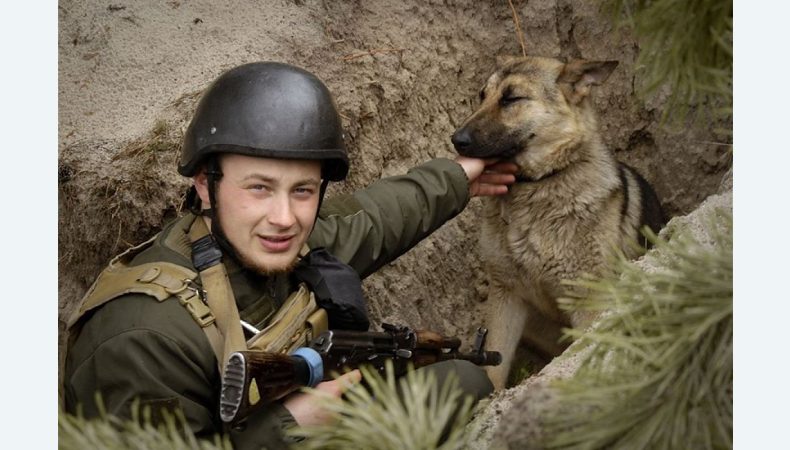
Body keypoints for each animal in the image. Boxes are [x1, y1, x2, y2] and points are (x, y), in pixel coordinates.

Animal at [454, 55, 664, 386]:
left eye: (511, 98)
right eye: (481, 96)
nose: (456, 140)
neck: (538, 184)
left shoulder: (588, 302)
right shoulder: (506, 296)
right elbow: (493, 366)